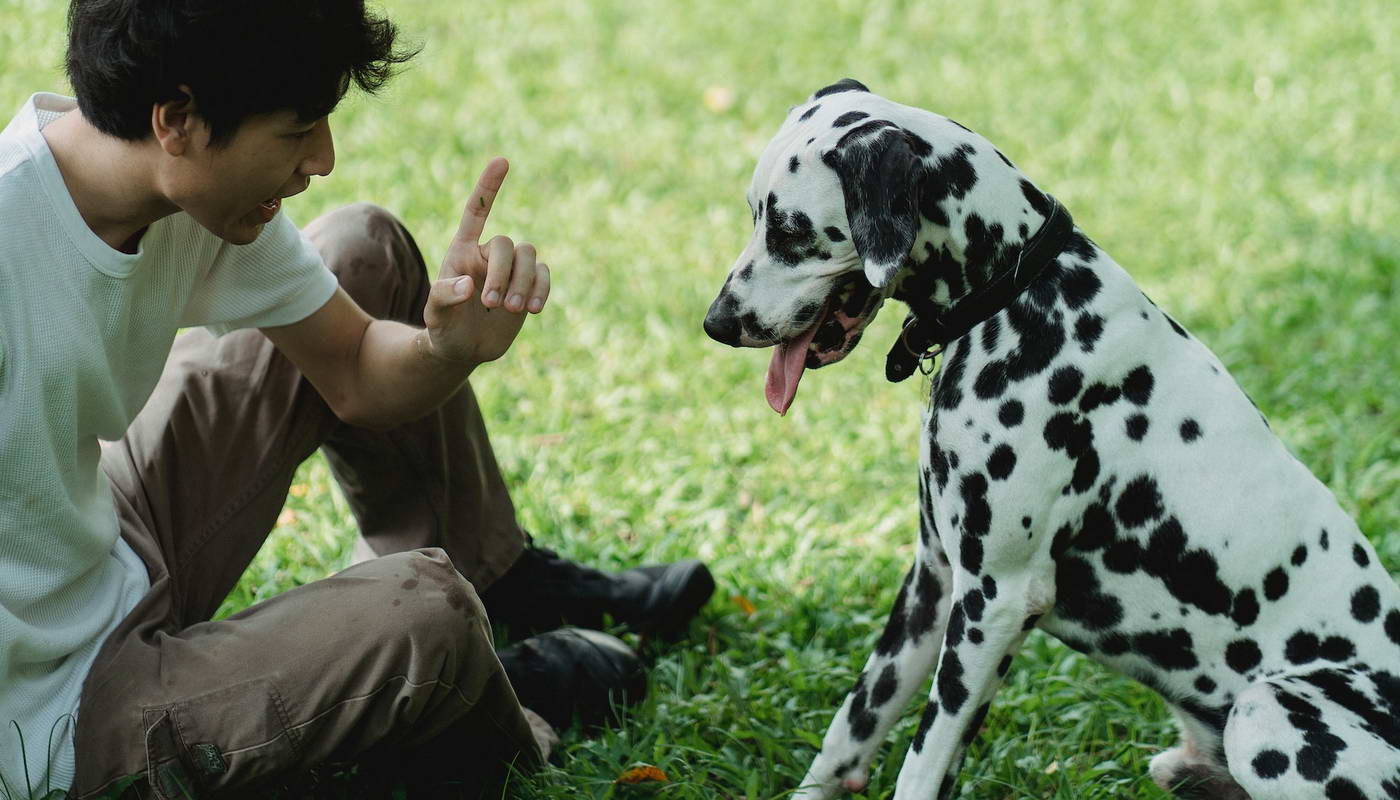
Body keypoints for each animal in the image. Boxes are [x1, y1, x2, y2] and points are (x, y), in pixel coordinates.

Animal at [705, 76, 1400, 800]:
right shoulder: (933, 586)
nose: (715, 323)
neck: (1016, 296)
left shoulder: (995, 603)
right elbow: (853, 726)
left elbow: (921, 763)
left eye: (790, 232)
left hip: (1264, 711)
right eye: (754, 214)